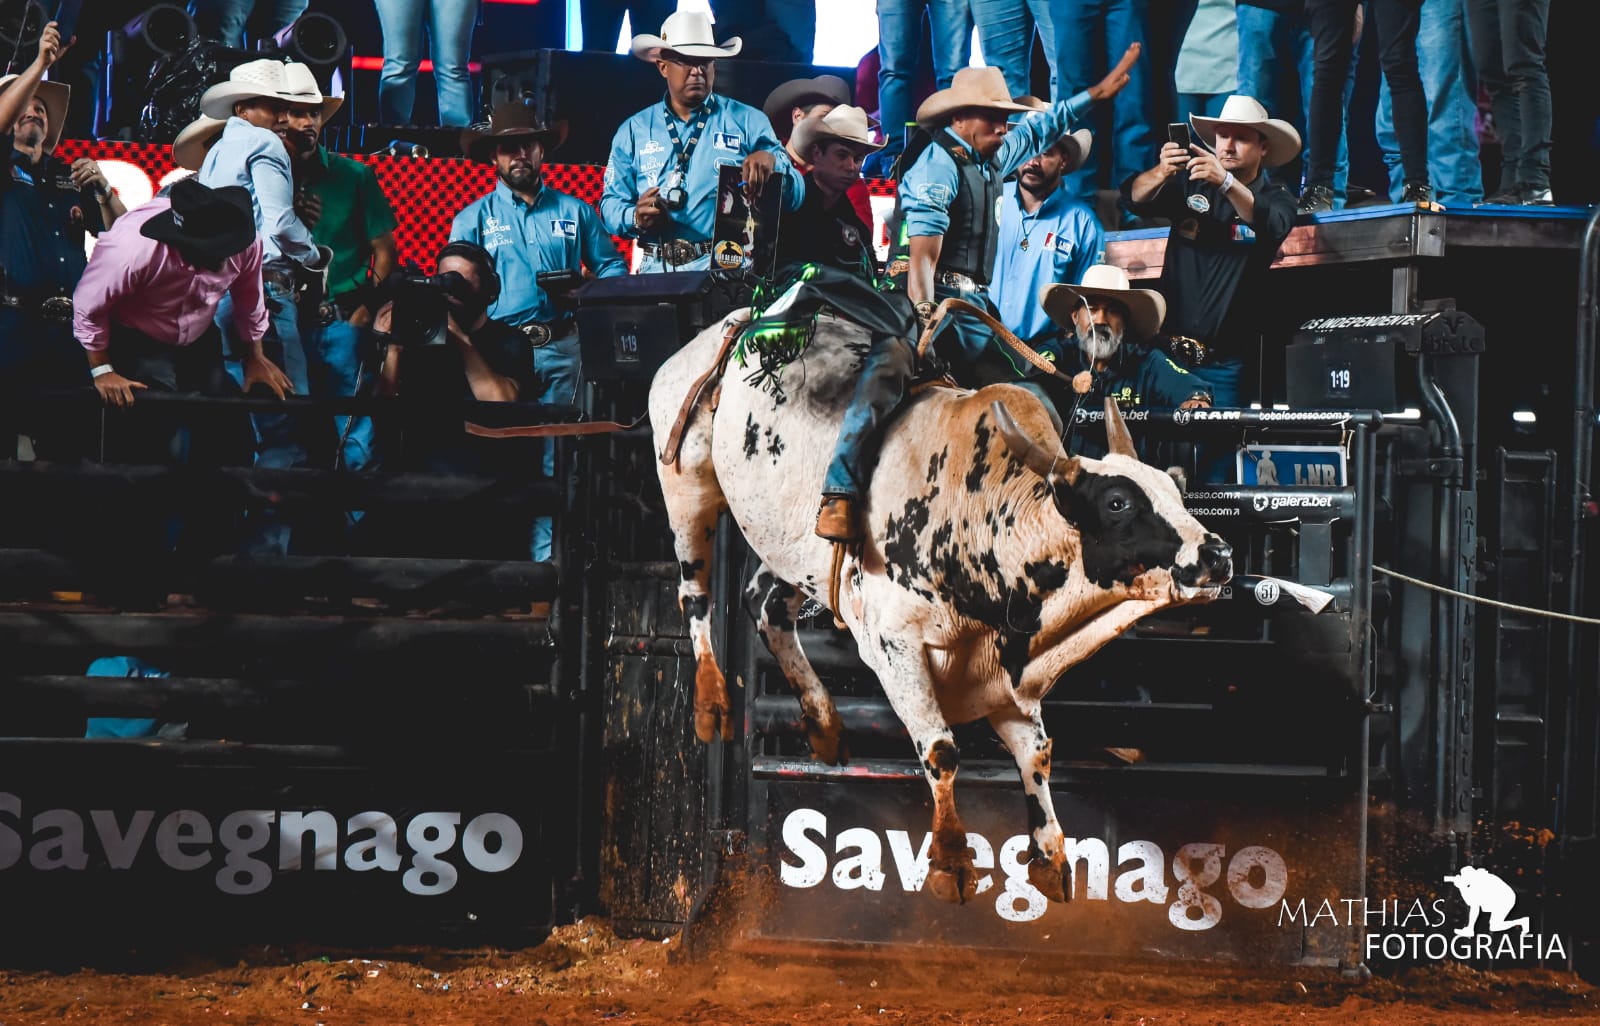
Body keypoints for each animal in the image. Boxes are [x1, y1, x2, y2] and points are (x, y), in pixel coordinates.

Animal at [649, 307, 1235, 902]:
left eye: (1175, 493)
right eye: (1117, 502)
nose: (1217, 553)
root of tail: (733, 324)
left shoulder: (1008, 676)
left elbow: (1038, 753)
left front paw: (1050, 858)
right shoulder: (894, 646)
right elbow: (941, 750)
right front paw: (951, 863)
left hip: (793, 549)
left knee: (766, 604)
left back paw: (825, 727)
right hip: (687, 485)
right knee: (694, 593)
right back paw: (712, 702)